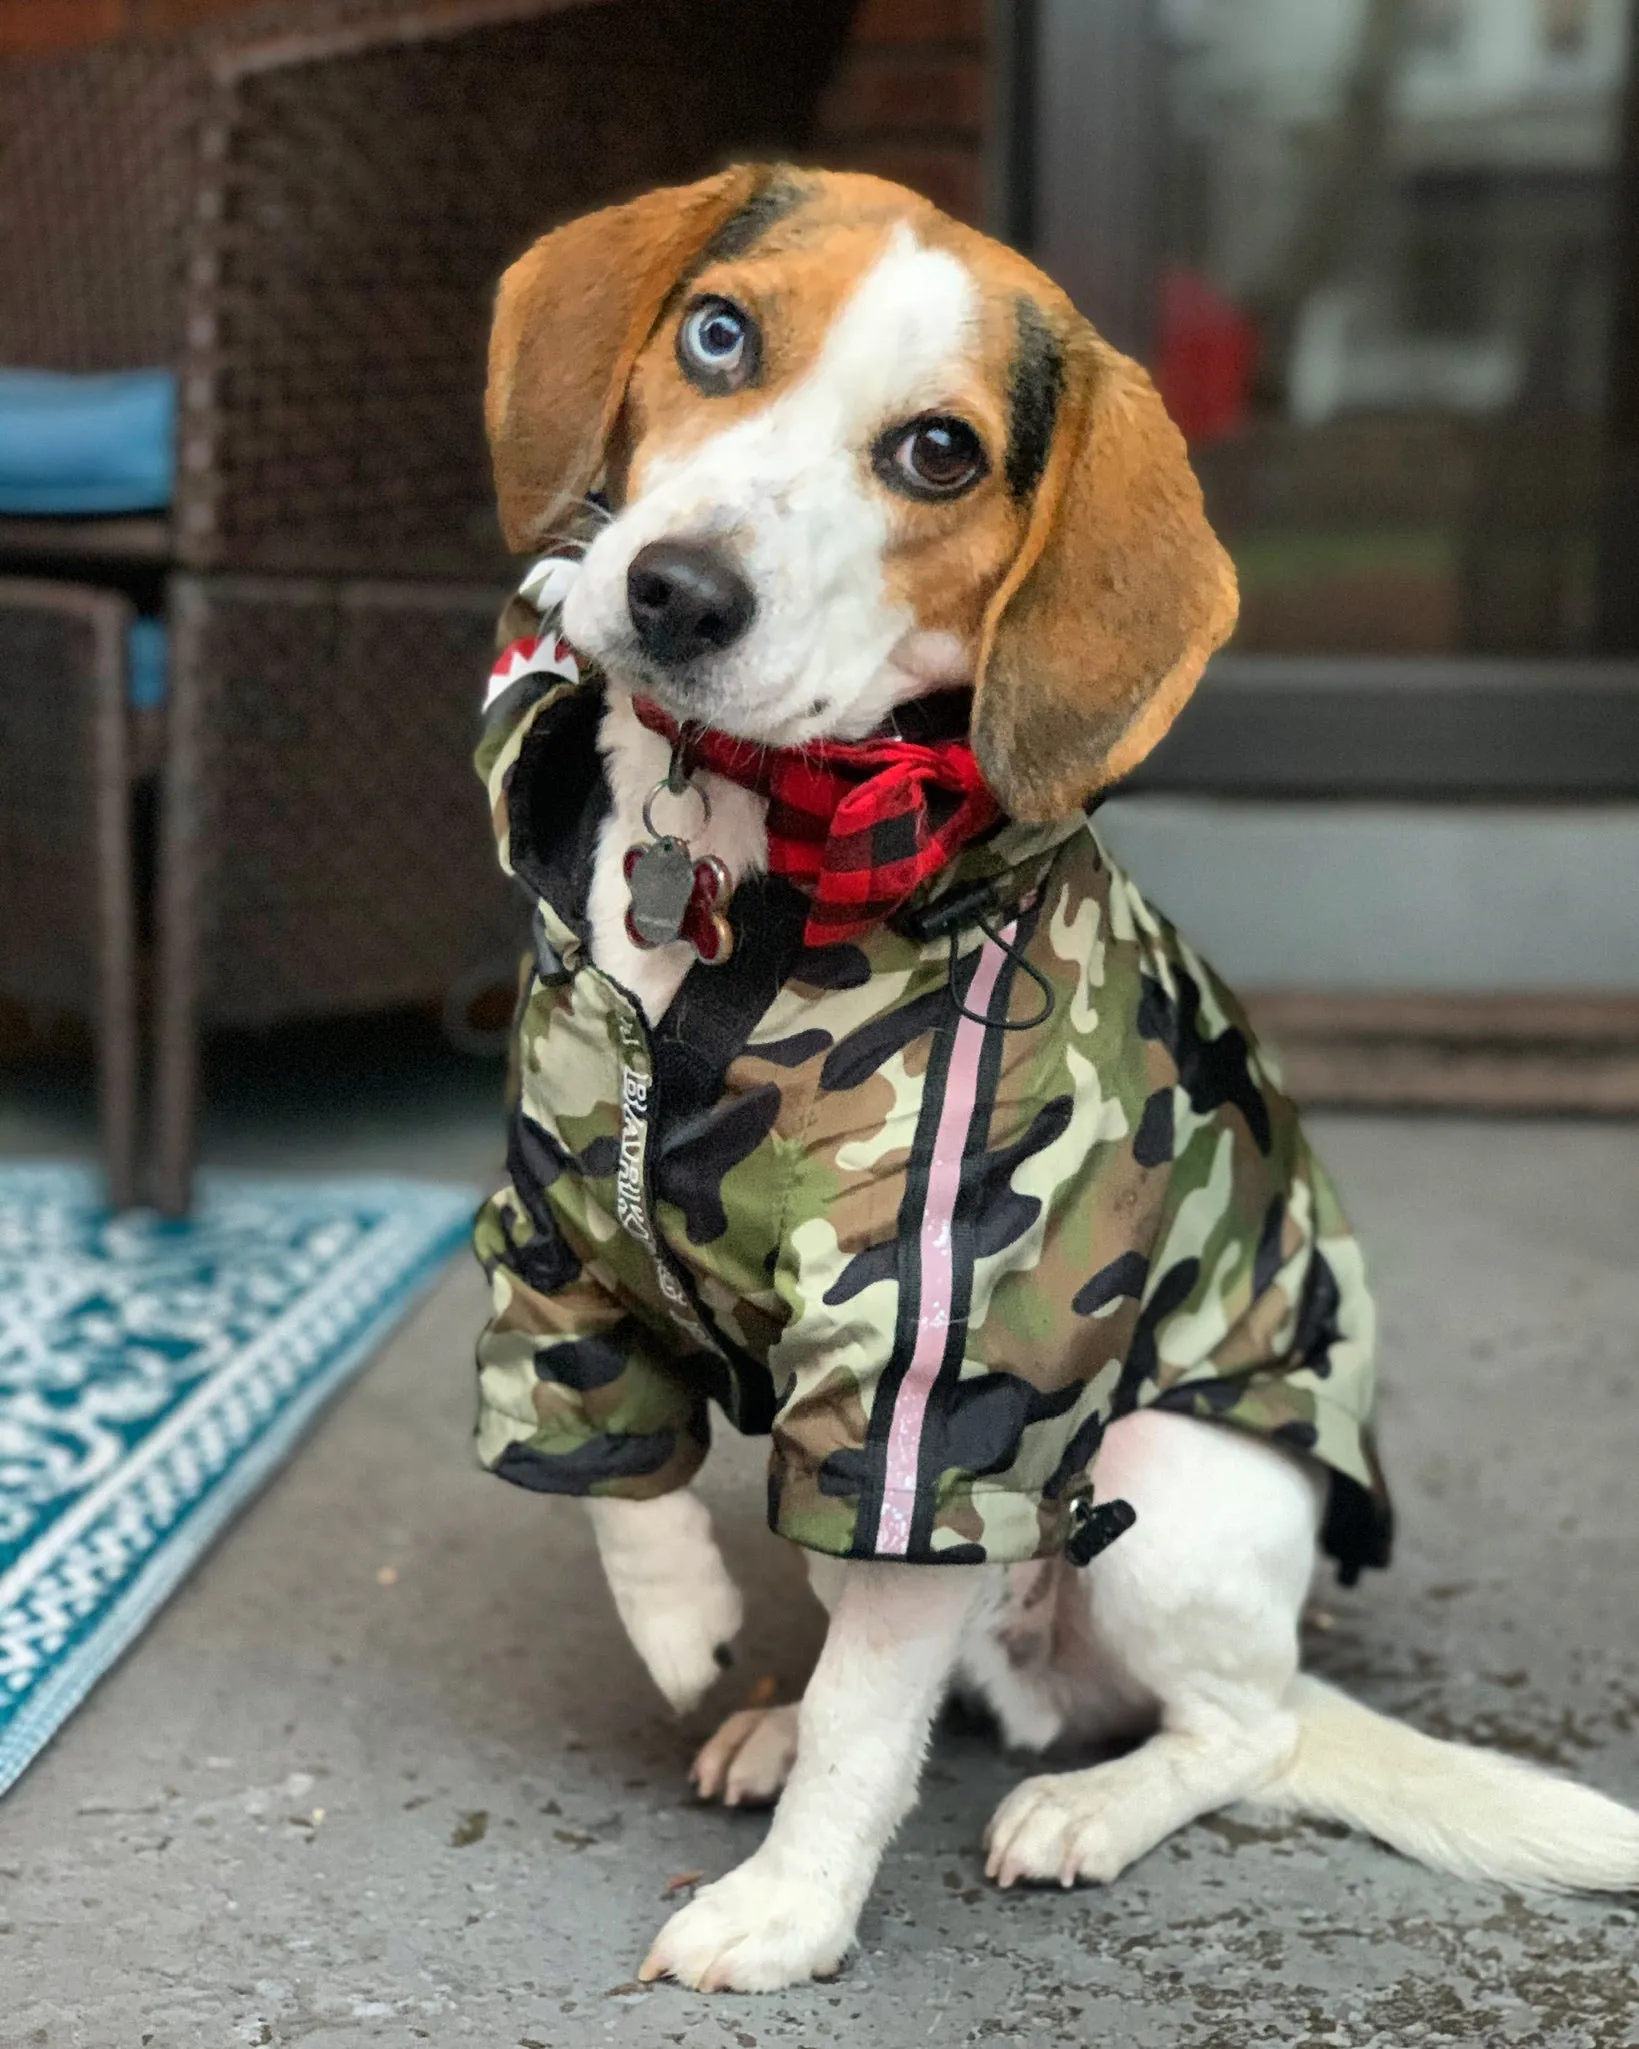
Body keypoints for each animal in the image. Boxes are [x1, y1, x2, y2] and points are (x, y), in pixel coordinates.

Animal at [471, 168, 1639, 1991]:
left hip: (1153, 1481)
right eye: (717, 333)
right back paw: (779, 1718)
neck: (748, 845)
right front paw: (684, 1631)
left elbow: (870, 1728)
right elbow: (615, 1478)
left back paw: (1087, 1802)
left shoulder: (931, 1390)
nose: (673, 591)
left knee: (1233, 1734)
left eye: (938, 454)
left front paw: (789, 1911)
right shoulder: (555, 1237)